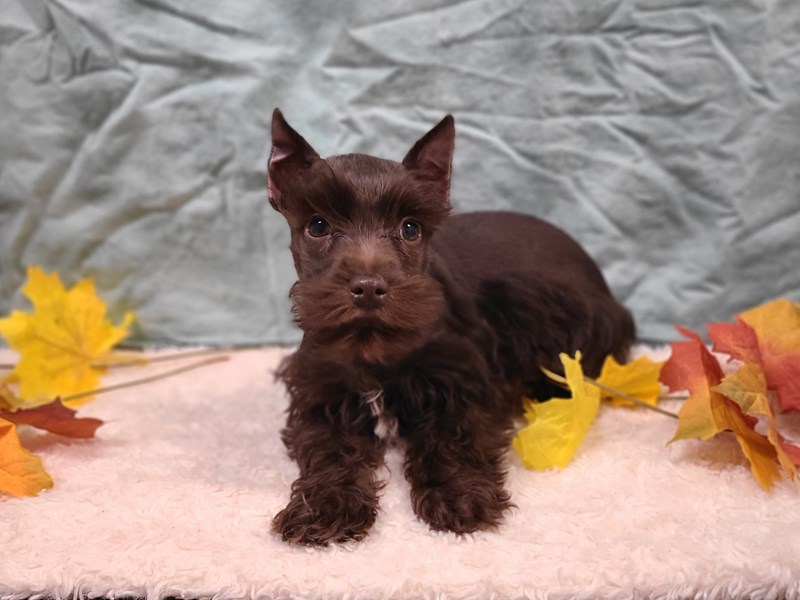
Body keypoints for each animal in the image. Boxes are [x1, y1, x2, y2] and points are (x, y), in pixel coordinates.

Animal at [268, 110, 636, 548]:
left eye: (411, 228)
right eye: (318, 225)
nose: (369, 288)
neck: (375, 349)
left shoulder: (463, 380)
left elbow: (454, 435)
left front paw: (461, 497)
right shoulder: (321, 391)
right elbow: (329, 447)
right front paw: (324, 508)